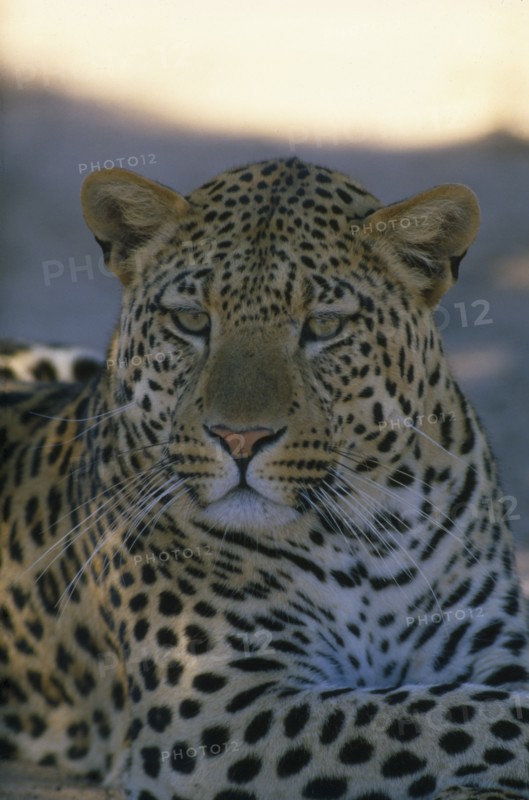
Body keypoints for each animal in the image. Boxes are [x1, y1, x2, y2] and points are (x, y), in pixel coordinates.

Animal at [1, 157, 529, 800]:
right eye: (191, 320)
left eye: (323, 325)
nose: (239, 439)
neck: (369, 528)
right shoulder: (216, 708)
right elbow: (455, 714)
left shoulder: (491, 645)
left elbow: (467, 705)